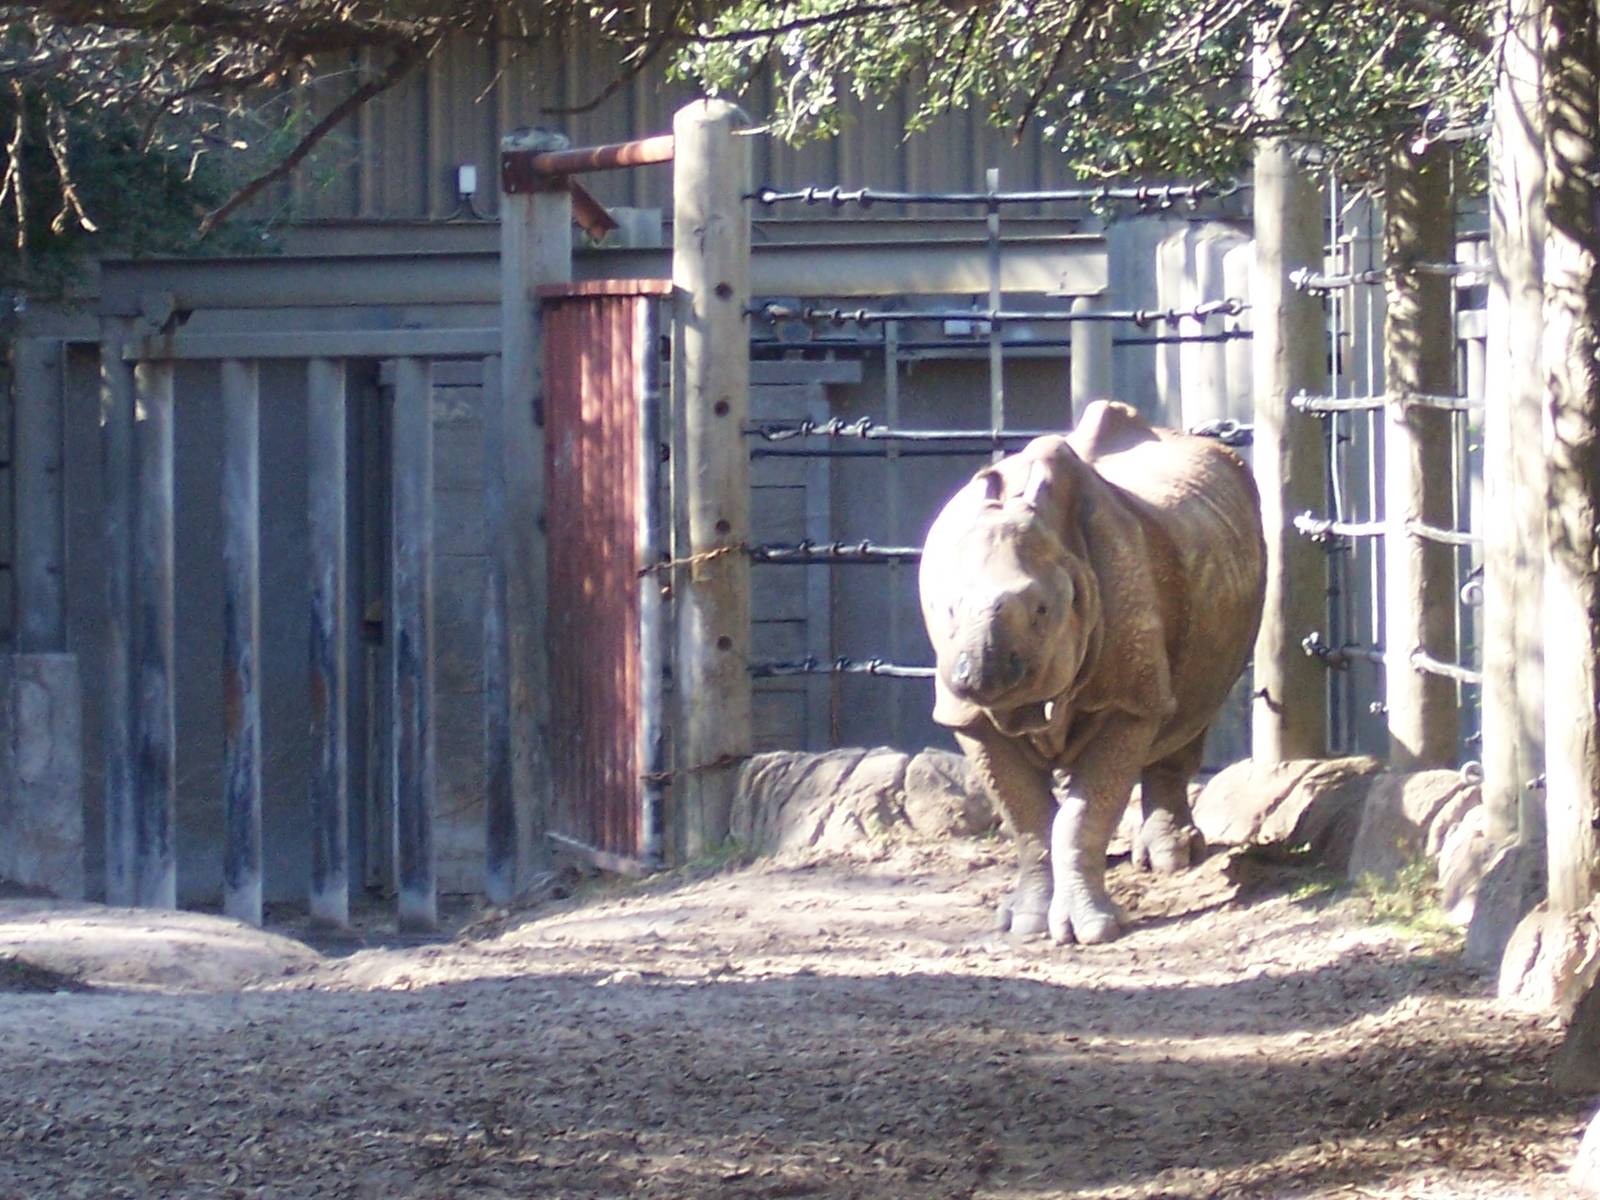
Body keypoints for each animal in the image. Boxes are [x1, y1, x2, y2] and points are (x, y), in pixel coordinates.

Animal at [919, 400, 1266, 944]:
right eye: (946, 609)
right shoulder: (964, 716)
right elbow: (1027, 816)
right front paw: (1026, 924)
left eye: (1042, 611)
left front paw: (1094, 931)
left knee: (1189, 709)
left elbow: (1083, 814)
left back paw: (1171, 860)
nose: (977, 675)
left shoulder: (1128, 699)